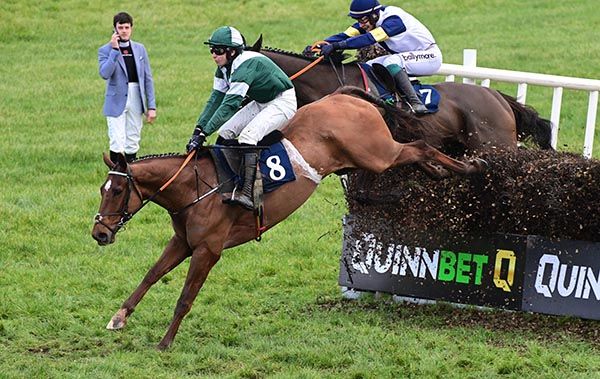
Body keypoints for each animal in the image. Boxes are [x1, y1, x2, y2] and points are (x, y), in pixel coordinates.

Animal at [90, 92, 488, 350]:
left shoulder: (208, 249)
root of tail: (345, 97)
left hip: (376, 153)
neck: (195, 187)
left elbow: (185, 297)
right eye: (101, 188)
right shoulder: (183, 242)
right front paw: (119, 317)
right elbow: (151, 275)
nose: (99, 233)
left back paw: (471, 167)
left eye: (116, 191)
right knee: (417, 154)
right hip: (366, 159)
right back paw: (441, 173)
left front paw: (165, 342)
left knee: (420, 146)